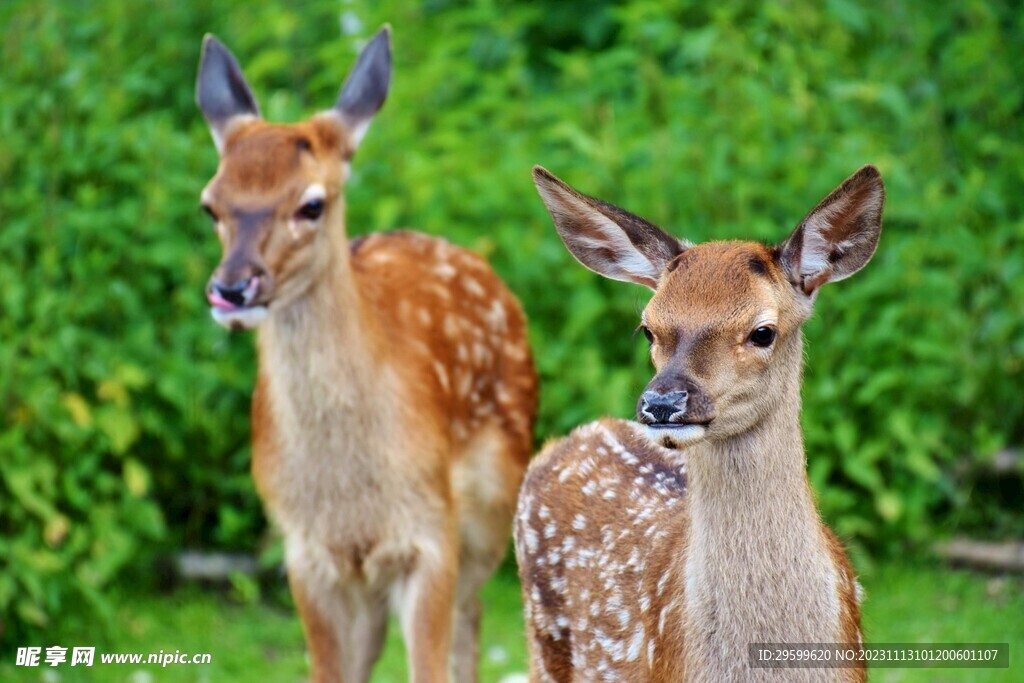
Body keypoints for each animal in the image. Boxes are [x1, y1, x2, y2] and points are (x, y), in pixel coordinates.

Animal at [194, 28, 540, 683]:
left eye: (312, 204)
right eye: (210, 203)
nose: (232, 288)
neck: (350, 494)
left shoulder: (429, 533)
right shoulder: (306, 551)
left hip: (490, 508)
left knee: (471, 619)